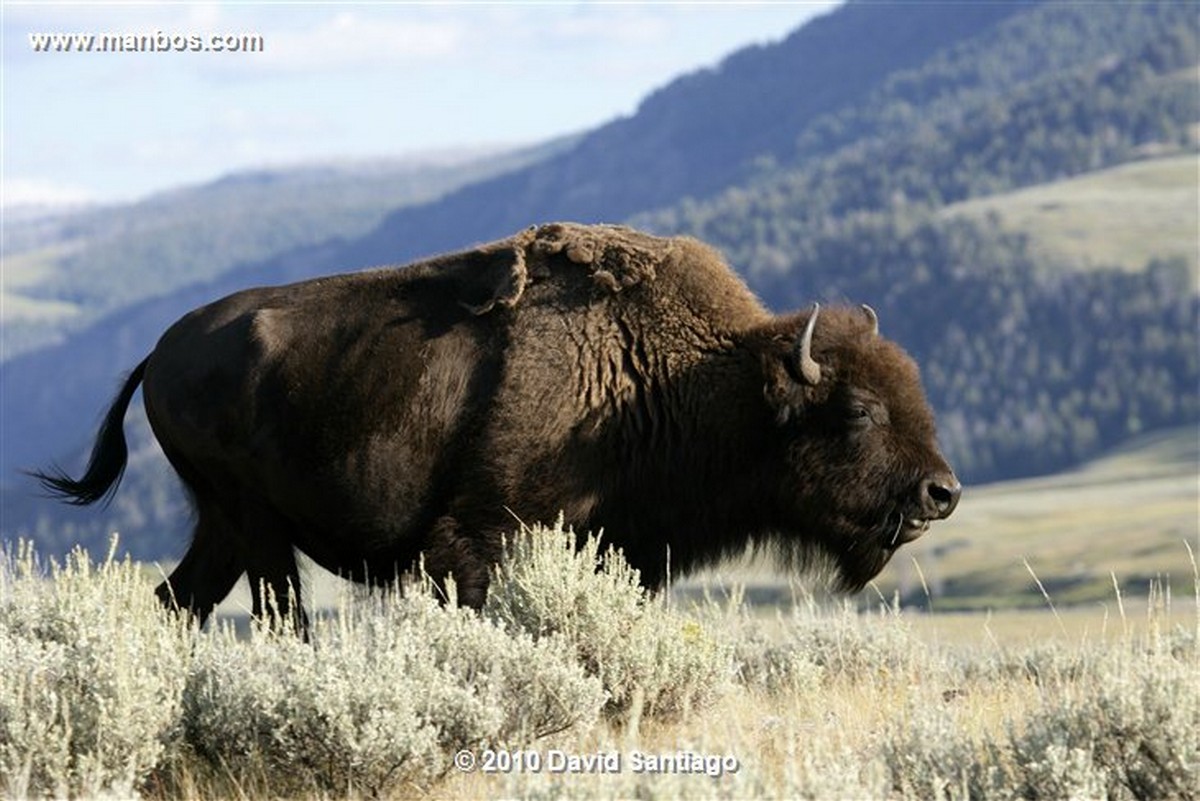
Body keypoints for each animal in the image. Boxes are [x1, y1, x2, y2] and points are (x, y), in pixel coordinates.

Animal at [32, 224, 960, 623]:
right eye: (857, 411)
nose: (941, 492)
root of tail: (159, 351)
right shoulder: (479, 540)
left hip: (225, 528)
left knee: (177, 598)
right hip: (256, 528)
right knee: (275, 614)